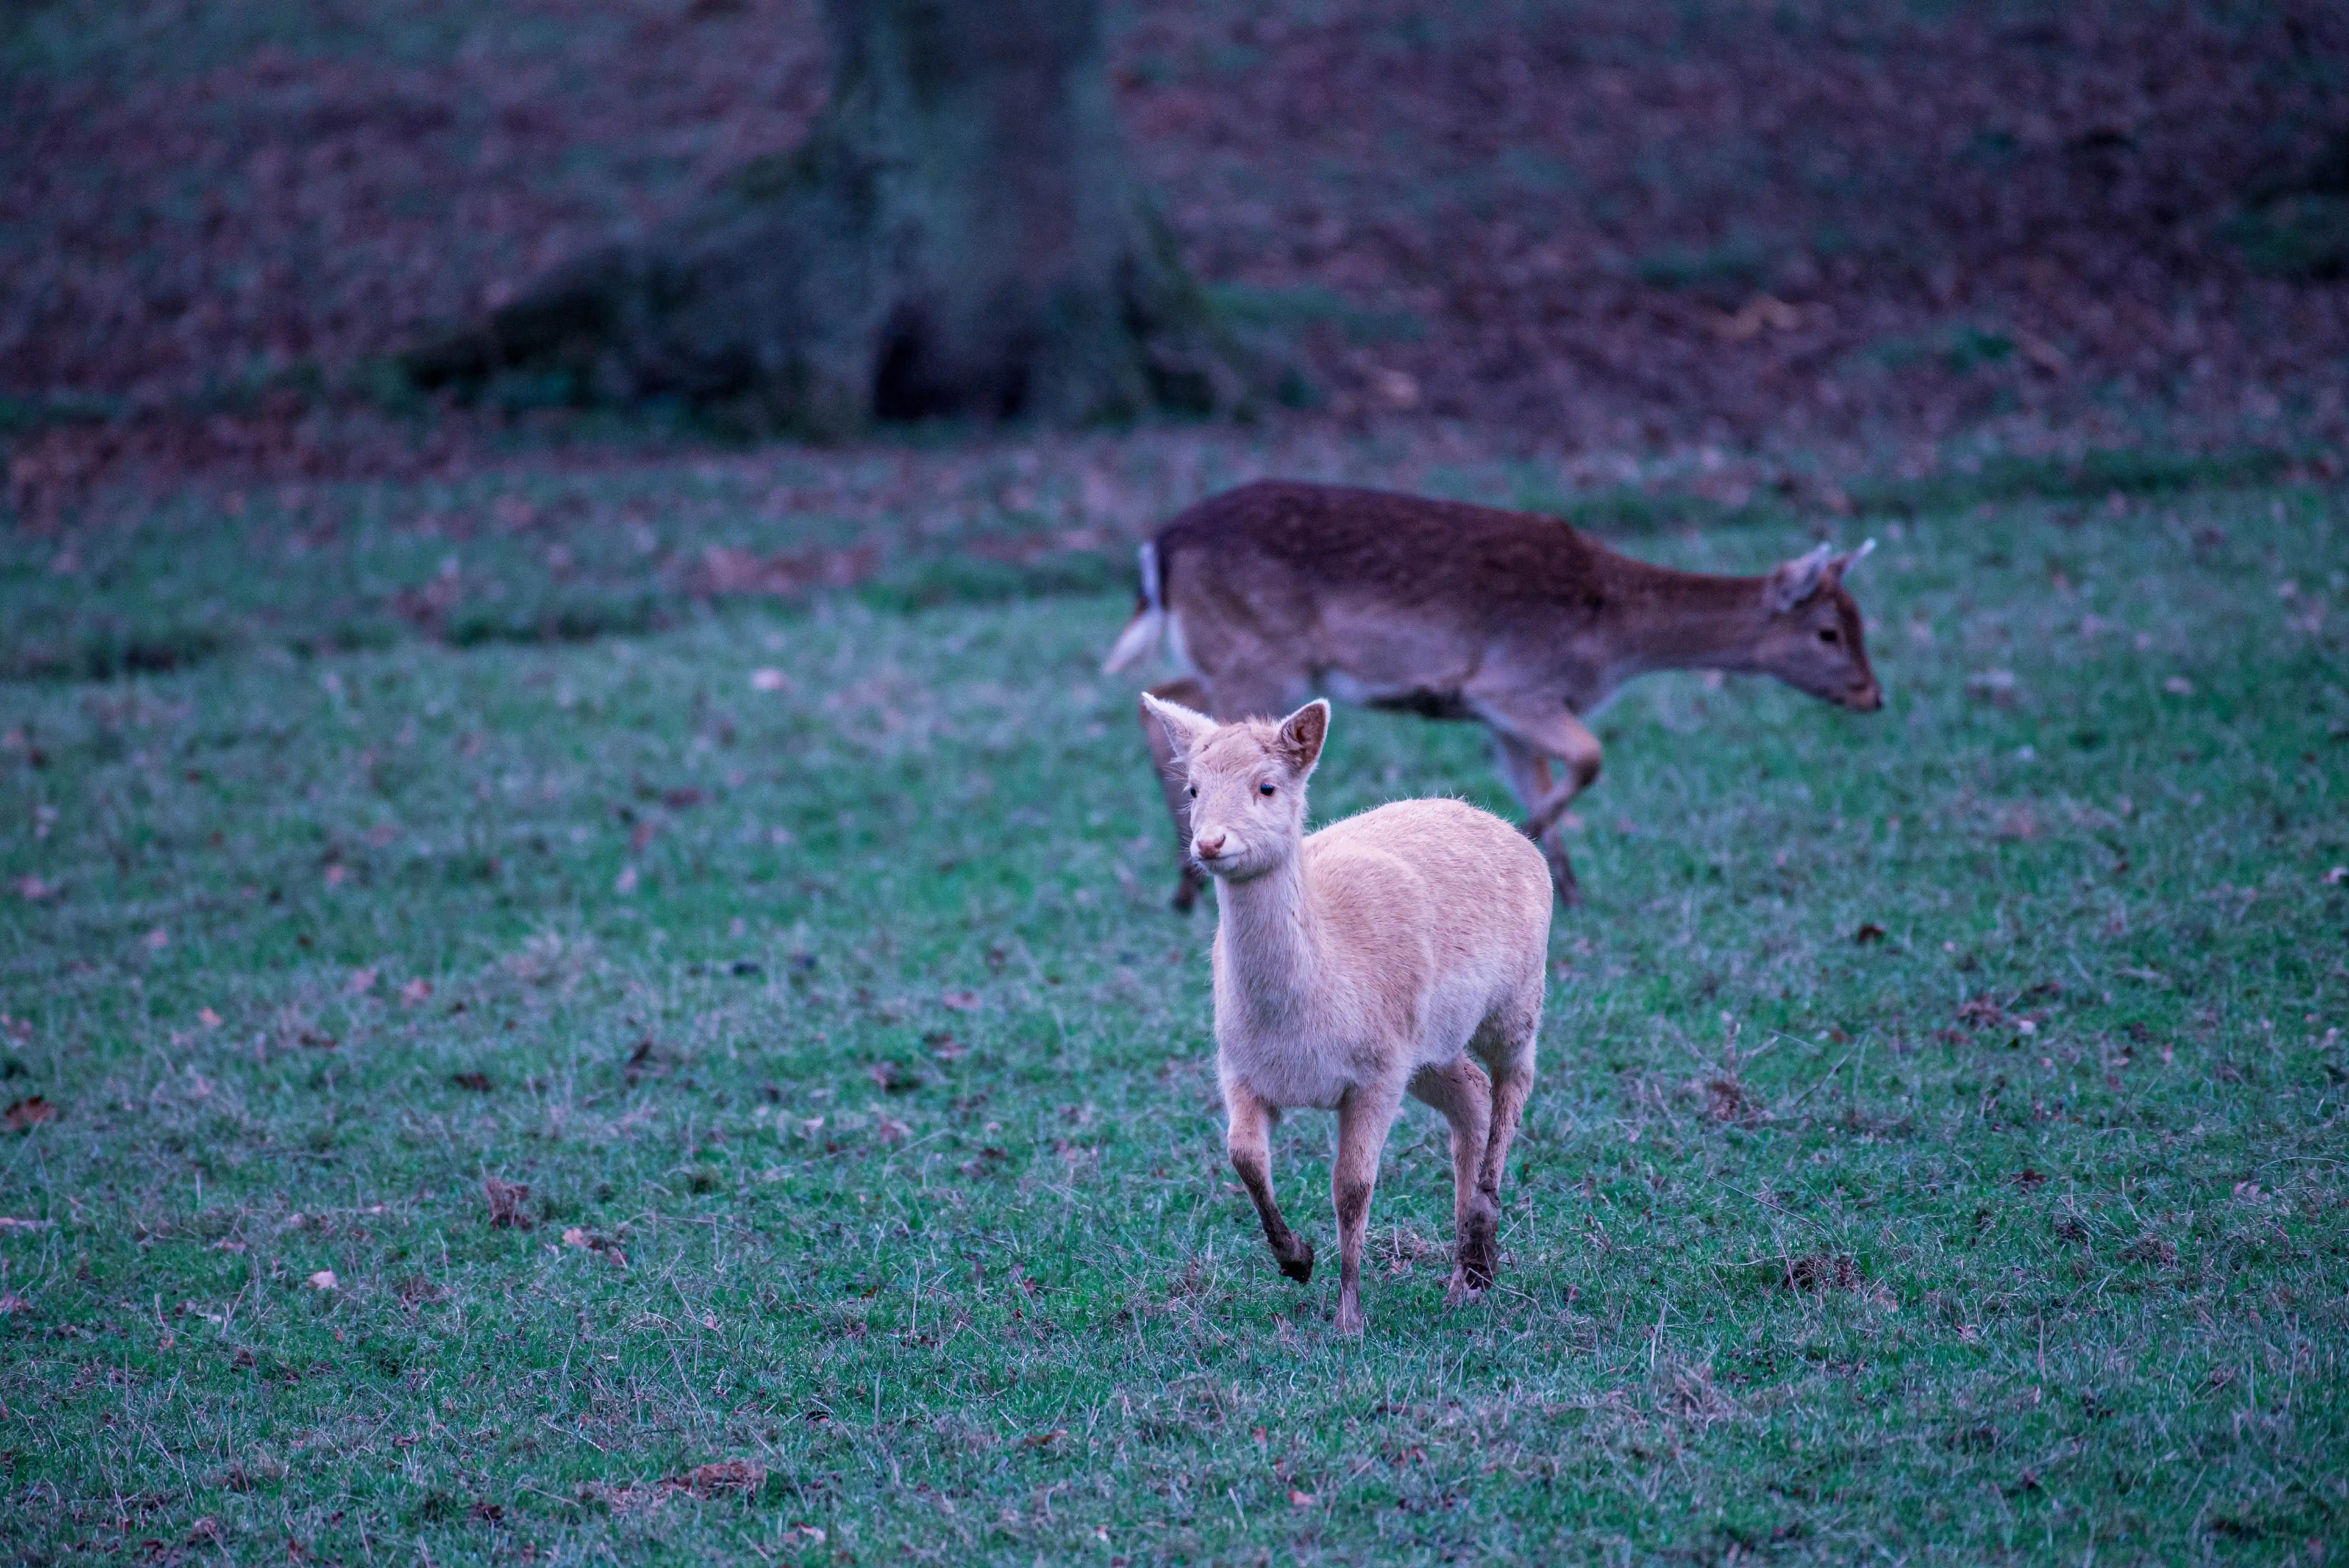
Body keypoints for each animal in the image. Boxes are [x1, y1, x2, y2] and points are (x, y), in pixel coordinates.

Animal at [1104, 480, 1881, 910]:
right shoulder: (1513, 684)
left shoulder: (1503, 714)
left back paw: (1182, 880)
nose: (1873, 696)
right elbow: (1589, 758)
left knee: (1165, 699)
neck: (1610, 638)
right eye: (1827, 632)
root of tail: (1157, 549)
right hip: (1259, 654)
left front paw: (1566, 887)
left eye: (1859, 620)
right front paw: (1529, 843)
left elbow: (1543, 775)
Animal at [1140, 692, 1551, 1336]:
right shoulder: (1239, 1069)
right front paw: (1296, 1260)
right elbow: (1244, 1155)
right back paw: (1463, 1280)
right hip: (1427, 1048)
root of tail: (1498, 822)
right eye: (1193, 788)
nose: (1209, 844)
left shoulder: (1376, 1076)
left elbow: (1352, 1187)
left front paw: (1349, 1318)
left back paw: (1481, 1251)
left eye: (1268, 786)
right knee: (1472, 1093)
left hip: (1517, 999)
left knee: (1514, 1083)